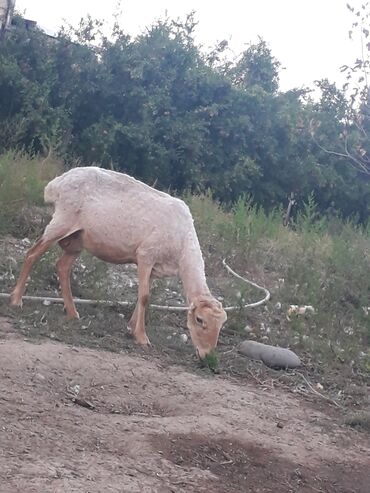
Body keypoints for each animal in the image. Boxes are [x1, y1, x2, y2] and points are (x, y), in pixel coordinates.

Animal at [8, 165, 227, 358]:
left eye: (221, 326)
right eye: (199, 320)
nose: (207, 356)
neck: (182, 249)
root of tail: (56, 183)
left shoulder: (154, 267)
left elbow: (143, 296)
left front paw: (131, 327)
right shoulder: (146, 254)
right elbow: (145, 296)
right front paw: (141, 337)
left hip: (77, 239)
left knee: (62, 266)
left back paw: (72, 312)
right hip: (62, 220)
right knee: (32, 254)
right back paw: (16, 299)